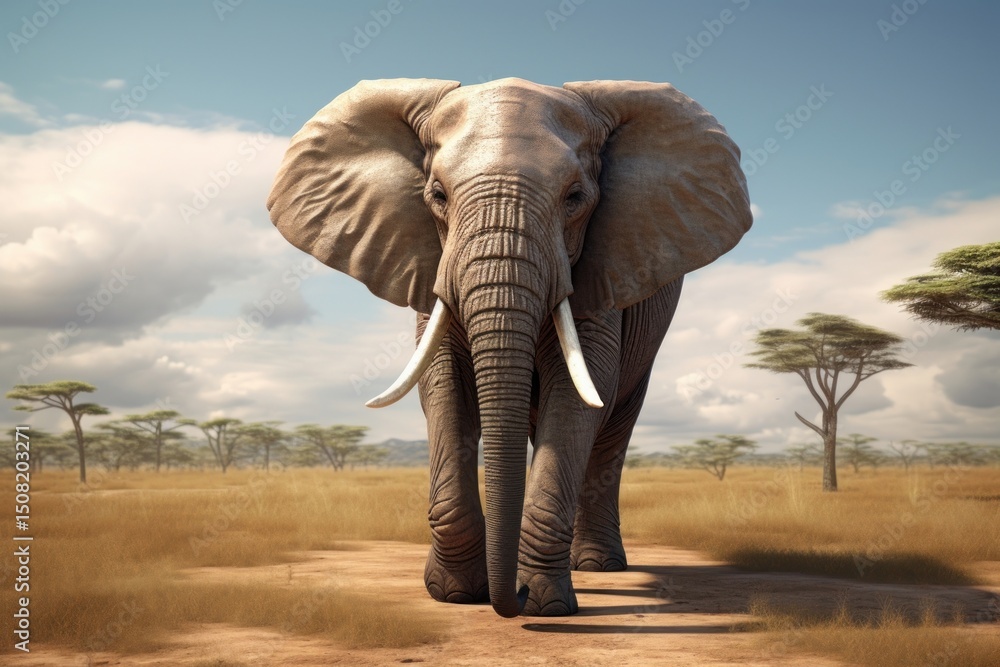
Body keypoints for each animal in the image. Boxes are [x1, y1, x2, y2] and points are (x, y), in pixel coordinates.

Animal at [267, 78, 751, 618]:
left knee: (612, 428)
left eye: (575, 198)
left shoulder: (600, 271)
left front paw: (545, 605)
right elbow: (442, 381)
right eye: (437, 195)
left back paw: (599, 567)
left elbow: (582, 385)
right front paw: (455, 595)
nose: (512, 596)